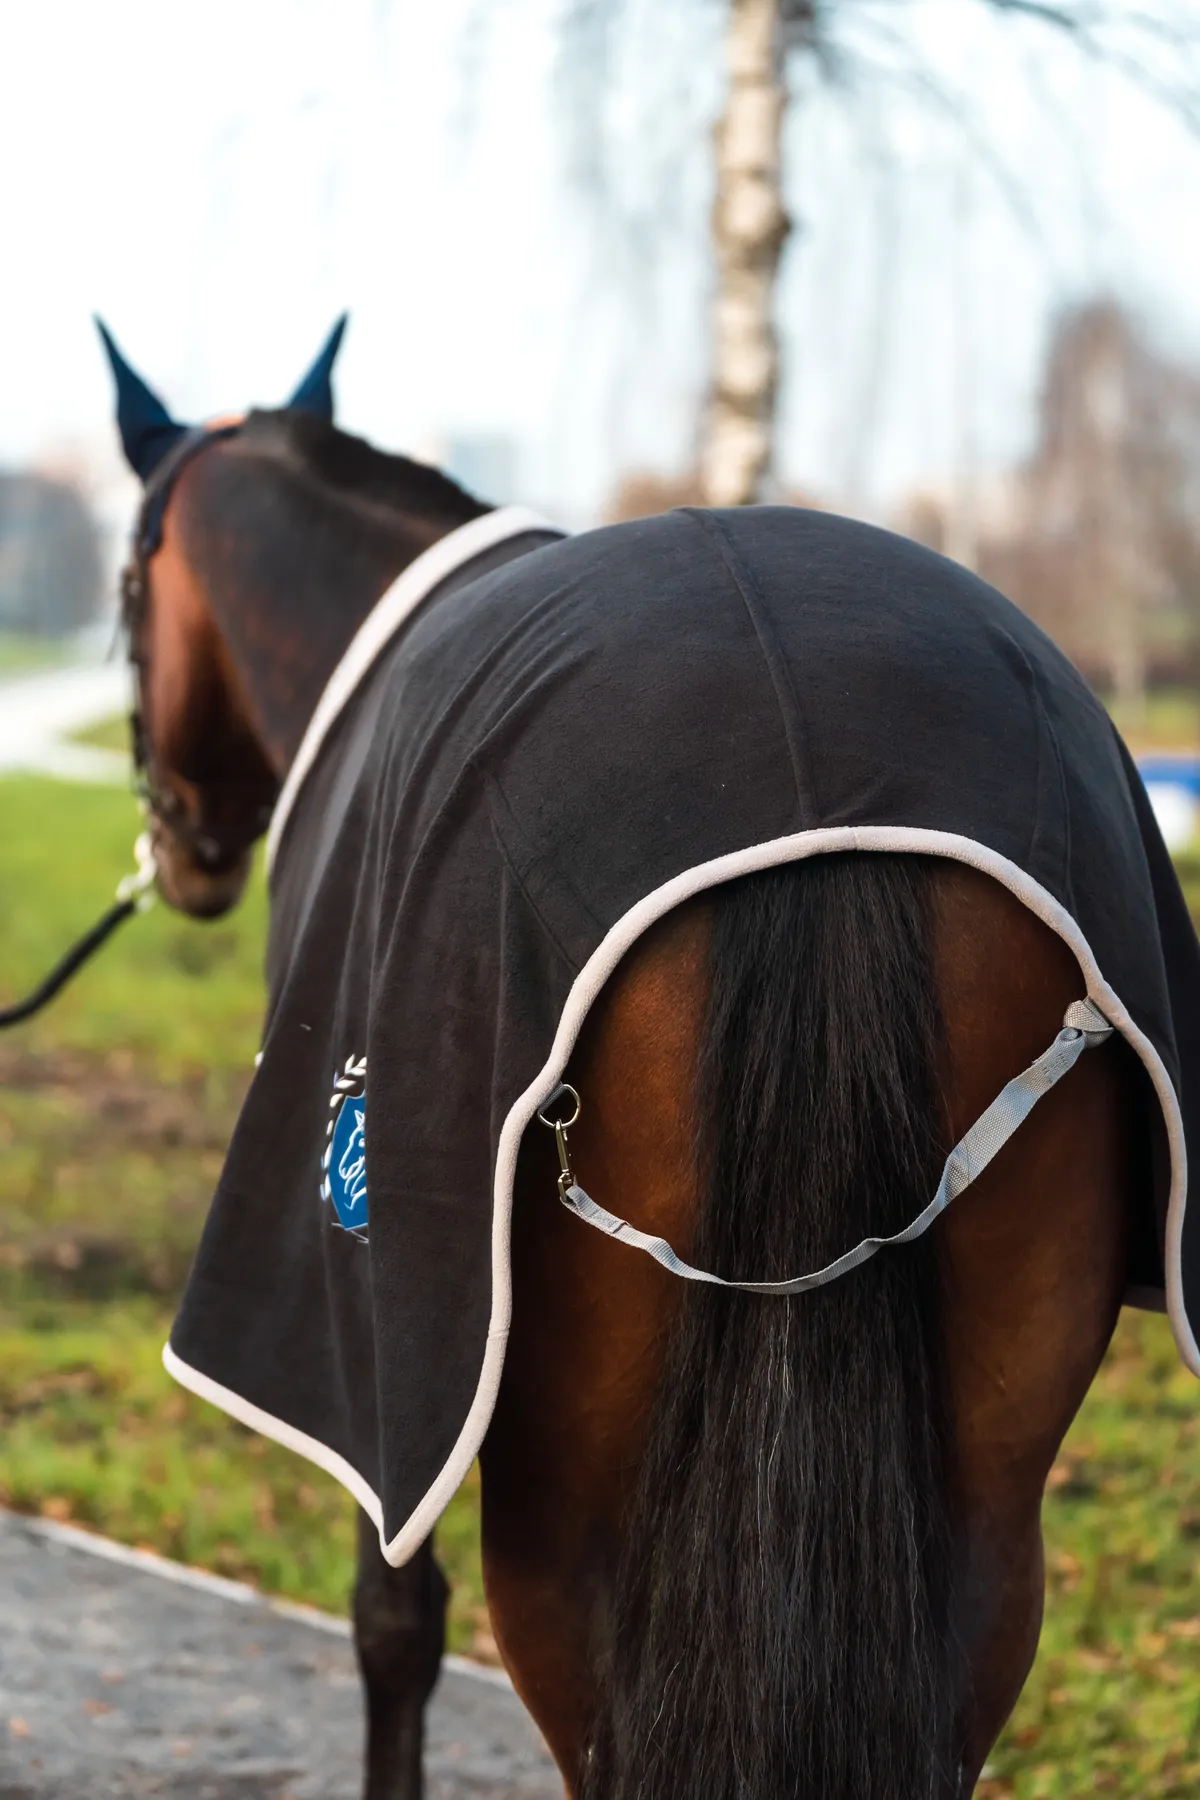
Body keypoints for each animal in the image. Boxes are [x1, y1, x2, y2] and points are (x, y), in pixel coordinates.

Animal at [99, 318, 1177, 1800]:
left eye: (124, 594)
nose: (183, 848)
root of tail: (817, 792)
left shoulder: (387, 1377)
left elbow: (393, 1623)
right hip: (992, 1497)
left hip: (556, 1508)